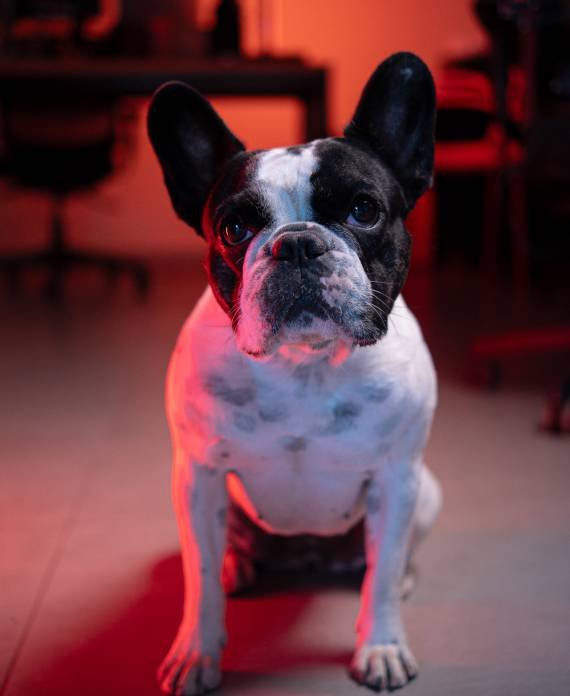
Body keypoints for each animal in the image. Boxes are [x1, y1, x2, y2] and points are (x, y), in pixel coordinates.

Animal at [148, 51, 442, 695]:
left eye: (364, 210)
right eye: (234, 228)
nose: (299, 244)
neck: (304, 364)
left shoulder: (396, 479)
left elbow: (381, 577)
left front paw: (381, 646)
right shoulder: (197, 476)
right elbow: (198, 578)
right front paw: (197, 654)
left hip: (425, 492)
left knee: (386, 560)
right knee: (221, 554)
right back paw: (237, 566)